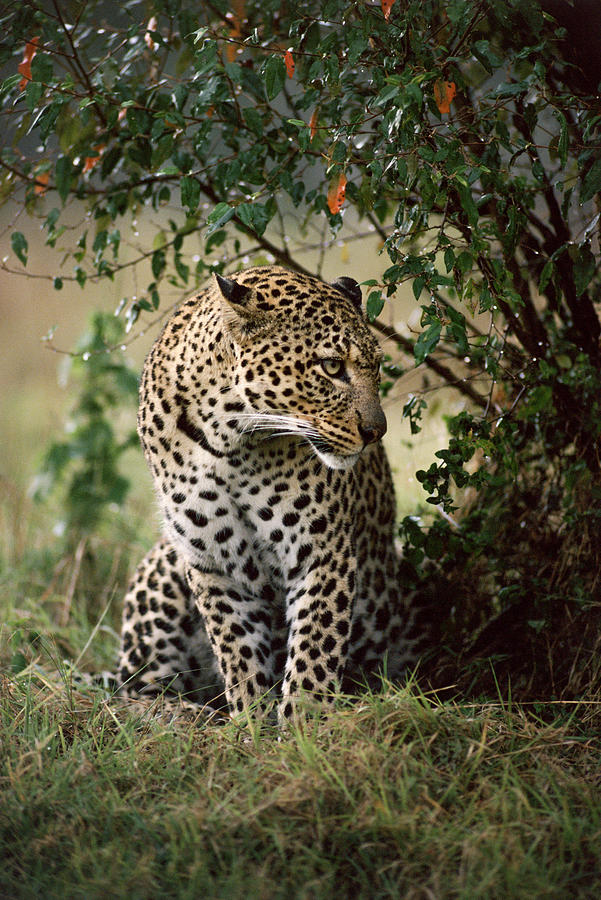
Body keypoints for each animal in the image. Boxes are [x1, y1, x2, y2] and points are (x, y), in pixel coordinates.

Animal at [118, 264, 426, 720]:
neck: (228, 439)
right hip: (164, 568)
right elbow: (239, 654)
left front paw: (304, 725)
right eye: (331, 366)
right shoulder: (213, 563)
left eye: (375, 367)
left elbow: (315, 653)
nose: (376, 432)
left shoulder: (322, 553)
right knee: (134, 688)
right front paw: (251, 723)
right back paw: (183, 714)